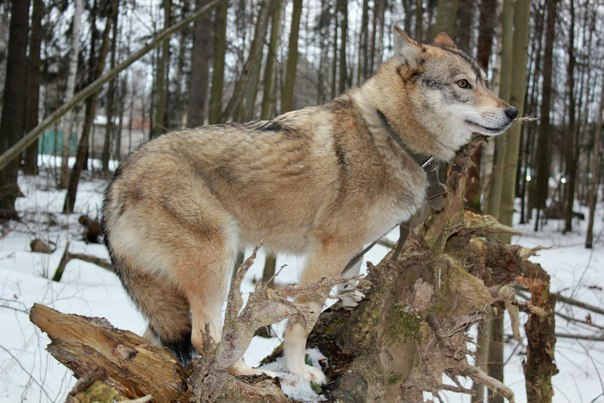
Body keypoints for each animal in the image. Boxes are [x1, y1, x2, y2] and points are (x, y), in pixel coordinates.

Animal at [101, 28, 516, 386]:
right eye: (463, 84)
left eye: (484, 81)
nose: (512, 111)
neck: (390, 133)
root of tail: (116, 181)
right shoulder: (328, 247)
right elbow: (306, 315)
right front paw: (299, 371)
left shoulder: (349, 247)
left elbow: (349, 275)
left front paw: (350, 295)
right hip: (219, 258)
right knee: (204, 339)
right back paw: (242, 370)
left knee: (160, 338)